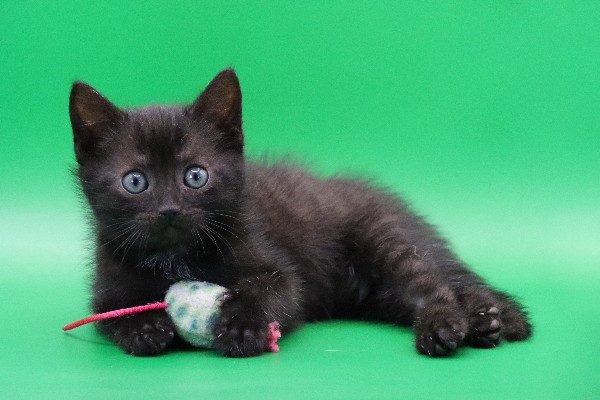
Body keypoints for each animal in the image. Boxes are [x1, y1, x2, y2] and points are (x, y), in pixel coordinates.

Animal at [68, 68, 532, 356]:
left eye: (195, 176)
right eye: (135, 181)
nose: (168, 210)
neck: (175, 260)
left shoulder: (281, 270)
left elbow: (273, 290)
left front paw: (242, 325)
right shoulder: (107, 288)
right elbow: (109, 317)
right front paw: (143, 328)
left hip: (383, 238)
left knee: (432, 283)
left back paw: (452, 324)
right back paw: (484, 320)